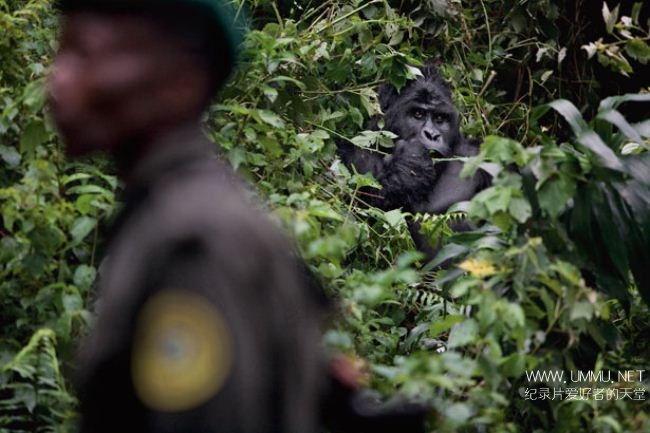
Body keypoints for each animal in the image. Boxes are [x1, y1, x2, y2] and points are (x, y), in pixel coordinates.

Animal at [336, 64, 488, 260]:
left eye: (440, 118)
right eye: (418, 114)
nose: (432, 135)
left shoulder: (481, 154)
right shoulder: (355, 154)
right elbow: (364, 210)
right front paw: (411, 162)